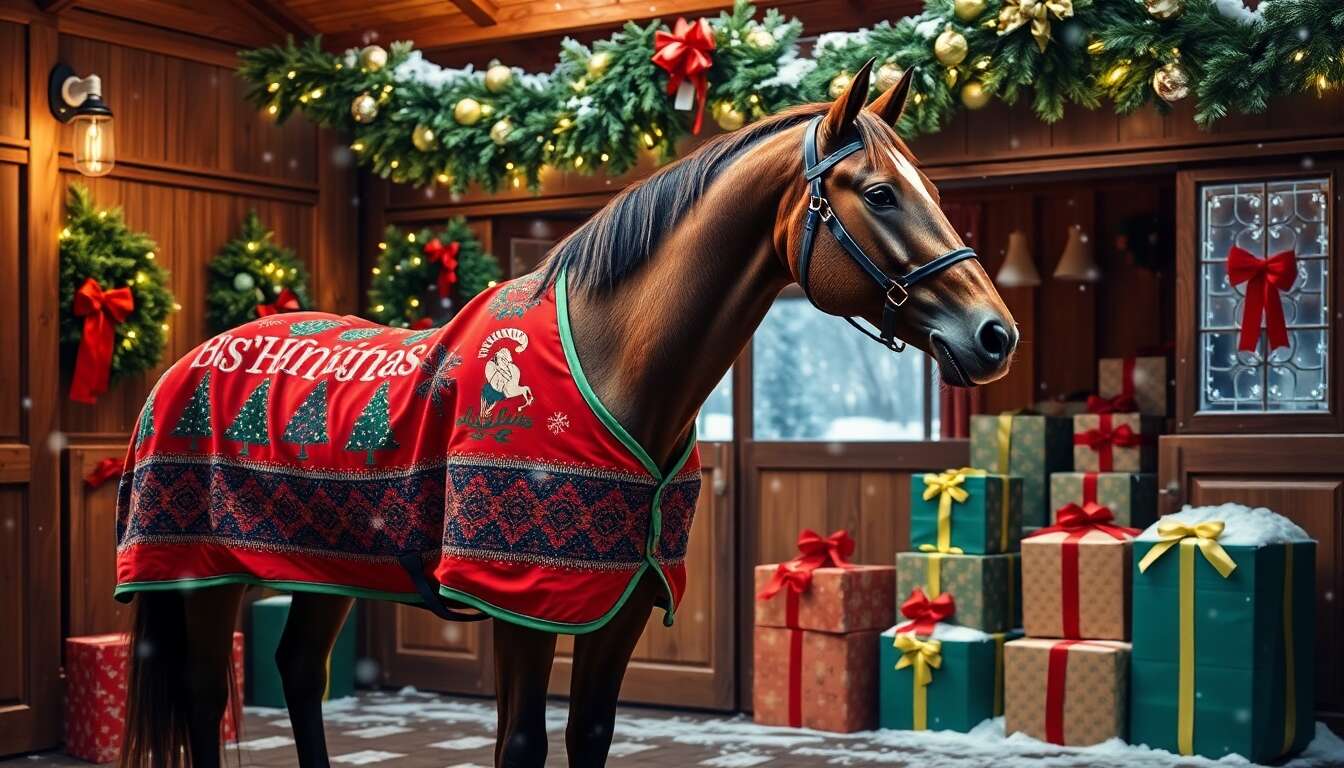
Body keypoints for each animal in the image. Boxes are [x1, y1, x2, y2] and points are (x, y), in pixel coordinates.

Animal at [116, 59, 1016, 768]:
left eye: (932, 190)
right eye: (880, 194)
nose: (994, 334)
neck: (616, 369)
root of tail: (189, 362)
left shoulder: (620, 606)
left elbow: (589, 736)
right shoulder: (520, 606)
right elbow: (521, 743)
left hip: (326, 570)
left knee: (300, 673)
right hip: (202, 574)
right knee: (205, 697)